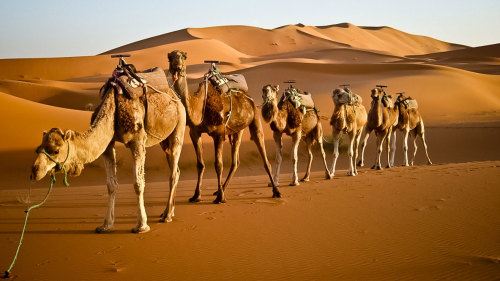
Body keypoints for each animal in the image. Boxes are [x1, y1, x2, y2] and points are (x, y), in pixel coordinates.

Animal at [31, 59, 188, 232]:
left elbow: (138, 183)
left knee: (173, 171)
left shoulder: (138, 141)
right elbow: (111, 185)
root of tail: (176, 96)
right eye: (38, 149)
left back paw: (167, 216)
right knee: (176, 169)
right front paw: (106, 225)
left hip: (179, 127)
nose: (35, 171)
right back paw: (168, 212)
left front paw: (141, 225)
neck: (113, 108)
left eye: (55, 150)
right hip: (163, 141)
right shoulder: (107, 145)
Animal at [169, 50, 282, 202]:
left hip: (255, 121)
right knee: (235, 161)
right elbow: (200, 164)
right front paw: (196, 195)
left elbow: (218, 165)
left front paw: (220, 198)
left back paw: (276, 191)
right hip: (237, 130)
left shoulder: (218, 134)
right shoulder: (194, 132)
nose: (177, 65)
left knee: (264, 158)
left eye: (183, 56)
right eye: (169, 57)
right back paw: (220, 189)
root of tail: (249, 97)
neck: (199, 106)